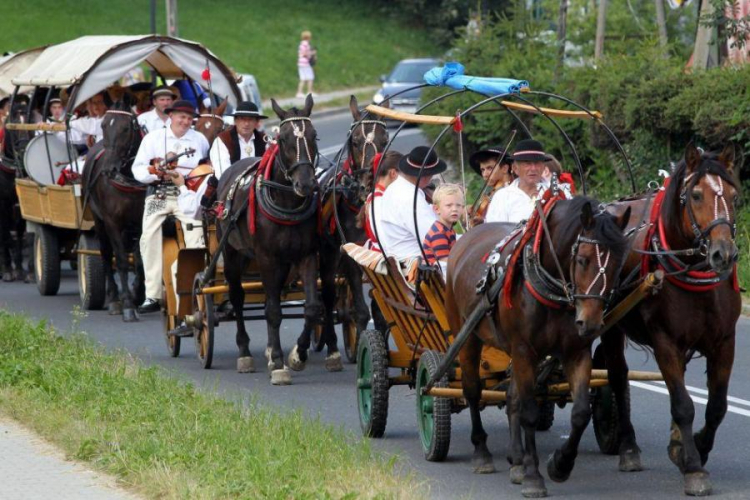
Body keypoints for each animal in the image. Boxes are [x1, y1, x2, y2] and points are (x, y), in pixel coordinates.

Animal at [216, 95, 324, 384]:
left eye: (314, 135)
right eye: (283, 139)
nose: (306, 184)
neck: (286, 202)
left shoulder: (306, 255)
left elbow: (311, 307)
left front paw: (297, 355)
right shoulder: (266, 257)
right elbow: (274, 311)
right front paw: (277, 362)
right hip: (232, 253)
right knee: (238, 297)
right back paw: (244, 353)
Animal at [450, 194, 632, 496]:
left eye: (619, 264)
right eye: (582, 260)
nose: (591, 323)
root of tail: (467, 236)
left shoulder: (575, 352)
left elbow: (580, 413)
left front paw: (560, 464)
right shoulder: (525, 351)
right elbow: (530, 413)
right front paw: (534, 476)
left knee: (511, 396)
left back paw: (516, 459)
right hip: (467, 336)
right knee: (472, 390)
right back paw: (482, 452)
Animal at [604, 144, 744, 496]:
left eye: (735, 197)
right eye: (695, 195)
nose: (724, 254)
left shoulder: (725, 341)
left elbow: (717, 406)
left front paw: (693, 448)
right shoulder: (665, 340)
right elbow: (683, 404)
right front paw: (694, 467)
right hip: (609, 325)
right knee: (617, 377)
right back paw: (628, 448)